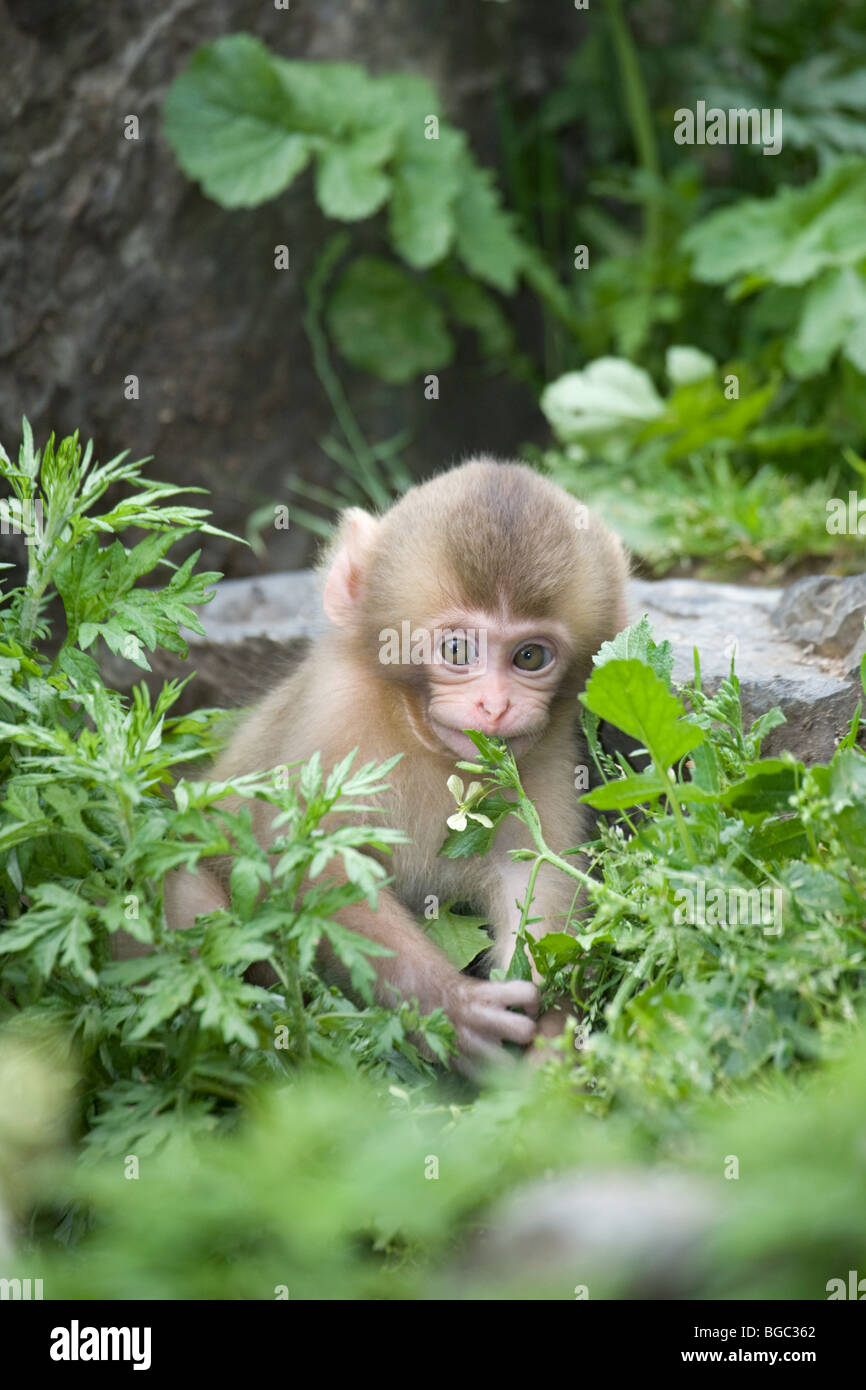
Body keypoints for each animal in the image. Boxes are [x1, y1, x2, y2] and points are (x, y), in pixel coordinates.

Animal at [166, 458, 631, 1073]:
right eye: (458, 651)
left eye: (530, 656)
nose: (496, 706)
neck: (425, 740)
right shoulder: (334, 716)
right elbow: (309, 863)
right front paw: (452, 1008)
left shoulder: (551, 753)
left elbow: (539, 876)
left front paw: (552, 1042)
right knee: (190, 897)